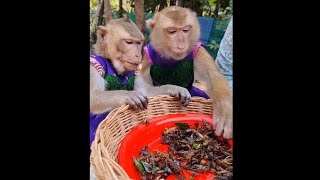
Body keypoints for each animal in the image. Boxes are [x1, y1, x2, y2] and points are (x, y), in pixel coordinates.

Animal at [90, 14, 148, 146]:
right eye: (129, 42)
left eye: (139, 43)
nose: (138, 55)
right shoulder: (94, 64)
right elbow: (92, 96)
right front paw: (129, 95)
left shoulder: (135, 71)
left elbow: (145, 91)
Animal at [134, 6, 232, 139]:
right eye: (172, 31)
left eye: (185, 30)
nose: (181, 43)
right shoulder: (148, 57)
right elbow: (144, 87)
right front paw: (174, 90)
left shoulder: (197, 49)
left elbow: (213, 74)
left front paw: (225, 112)